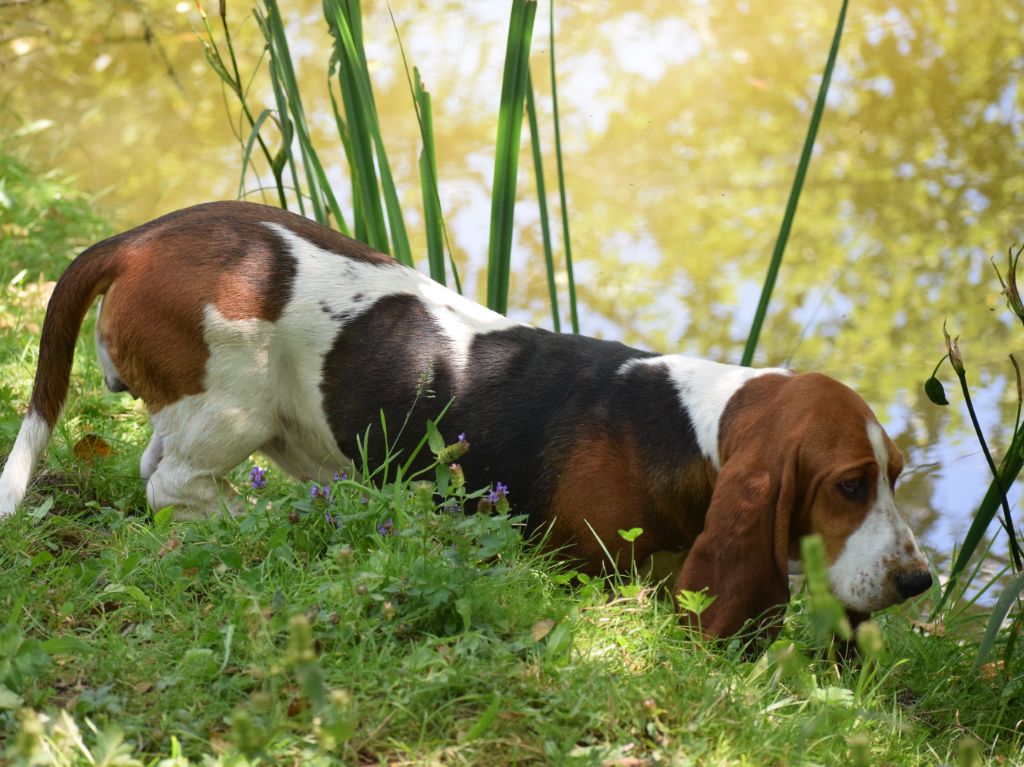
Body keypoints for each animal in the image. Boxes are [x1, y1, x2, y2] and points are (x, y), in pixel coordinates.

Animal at [0, 197, 937, 634]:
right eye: (849, 484)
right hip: (234, 404)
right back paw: (275, 522)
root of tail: (142, 235)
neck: (688, 427)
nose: (917, 582)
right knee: (175, 484)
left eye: (895, 476)